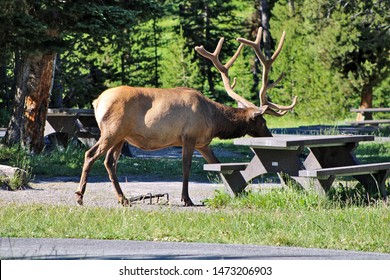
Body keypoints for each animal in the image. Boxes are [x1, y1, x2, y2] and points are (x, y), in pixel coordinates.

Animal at [75, 27, 296, 206]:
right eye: (263, 121)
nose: (269, 136)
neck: (214, 120)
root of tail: (97, 102)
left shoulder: (203, 143)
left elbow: (216, 164)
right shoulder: (189, 137)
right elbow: (186, 167)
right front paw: (187, 199)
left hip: (121, 137)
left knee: (110, 162)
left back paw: (123, 199)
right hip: (111, 131)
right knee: (91, 154)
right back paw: (80, 196)